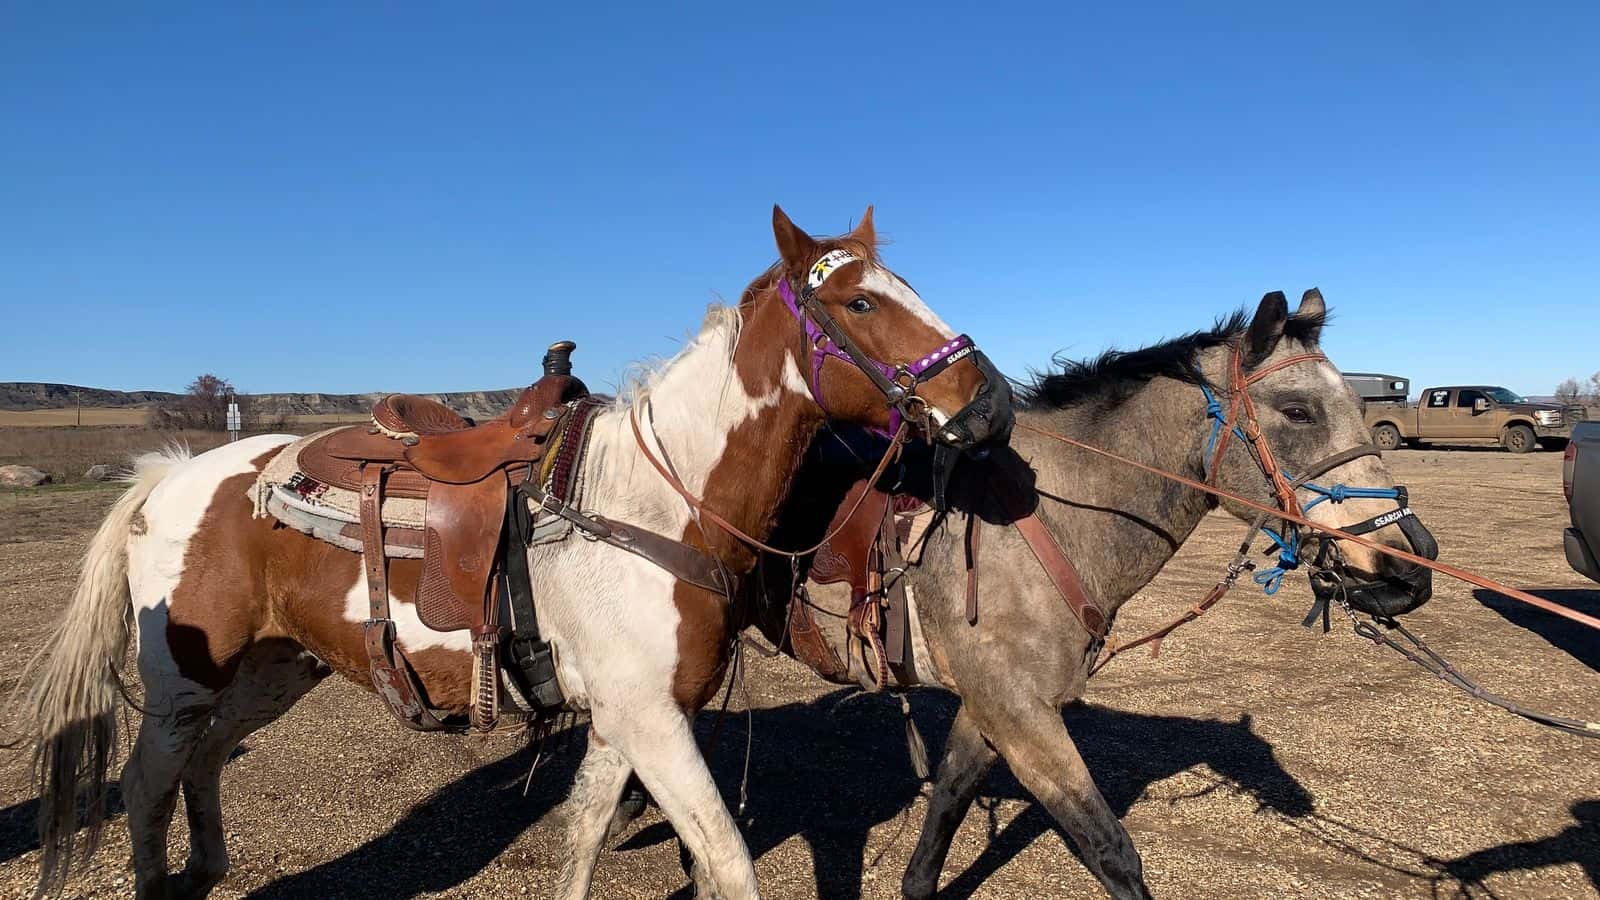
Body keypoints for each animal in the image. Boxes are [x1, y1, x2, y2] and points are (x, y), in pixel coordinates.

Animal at [19, 205, 1014, 900]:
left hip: (275, 667)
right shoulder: (652, 721)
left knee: (208, 757)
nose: (991, 405)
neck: (656, 501)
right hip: (183, 679)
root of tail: (167, 477)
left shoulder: (622, 721)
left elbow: (582, 840)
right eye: (860, 302)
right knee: (147, 781)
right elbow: (728, 864)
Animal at [744, 289, 1438, 898]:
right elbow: (1111, 852)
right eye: (1297, 411)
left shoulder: (993, 708)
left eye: (1358, 405)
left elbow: (945, 808)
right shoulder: (1020, 714)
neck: (1039, 518)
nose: (1410, 564)